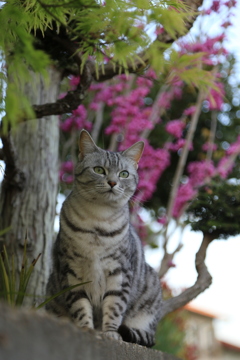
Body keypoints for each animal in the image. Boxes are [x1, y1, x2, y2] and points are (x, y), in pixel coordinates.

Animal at [46, 129, 162, 346]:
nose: (112, 182)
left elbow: (114, 305)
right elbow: (80, 305)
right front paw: (86, 328)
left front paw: (109, 332)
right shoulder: (71, 270)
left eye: (124, 174)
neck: (98, 220)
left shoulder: (119, 272)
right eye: (99, 170)